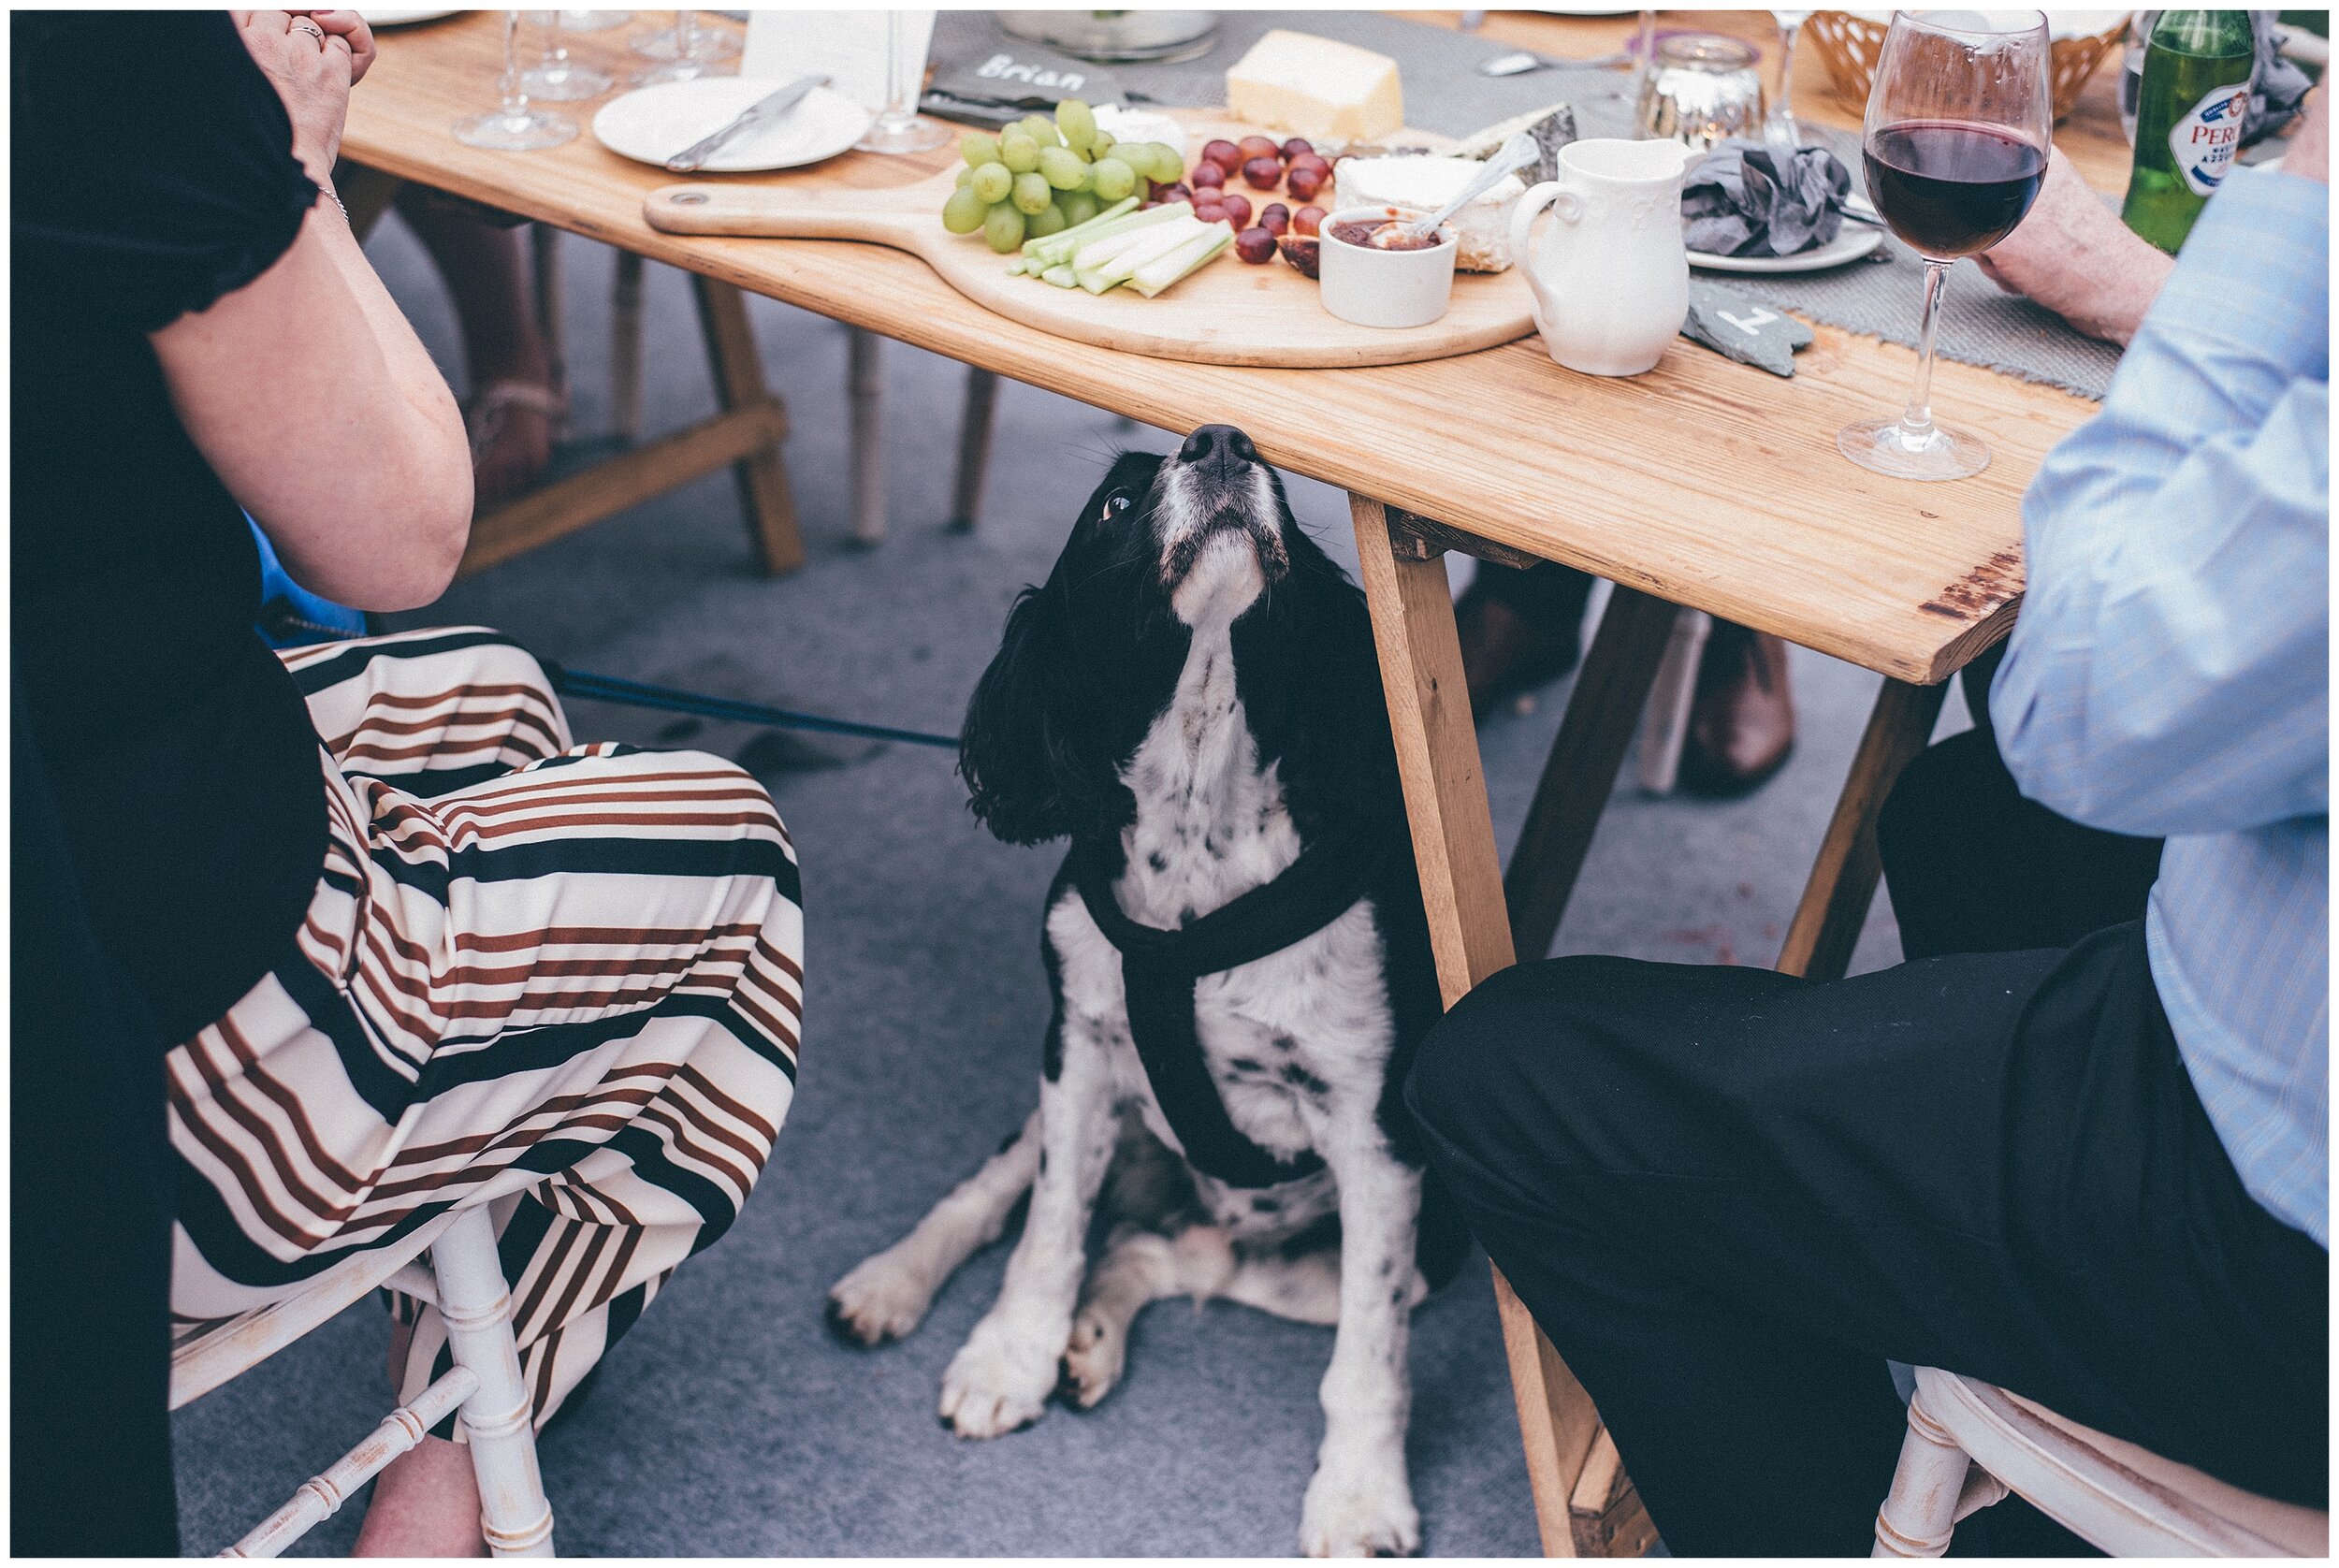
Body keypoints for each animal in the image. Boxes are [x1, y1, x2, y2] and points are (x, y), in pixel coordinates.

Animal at [833, 426, 1460, 1562]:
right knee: (1008, 1191)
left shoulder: (1374, 1135)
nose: (1223, 440)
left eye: (1285, 491)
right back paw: (893, 1283)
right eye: (1118, 503)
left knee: (1173, 1252)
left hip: (1356, 1252)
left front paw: (1356, 1498)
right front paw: (1007, 1357)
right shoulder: (1077, 1048)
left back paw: (1098, 1332)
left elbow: (1369, 1351)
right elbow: (1045, 1232)